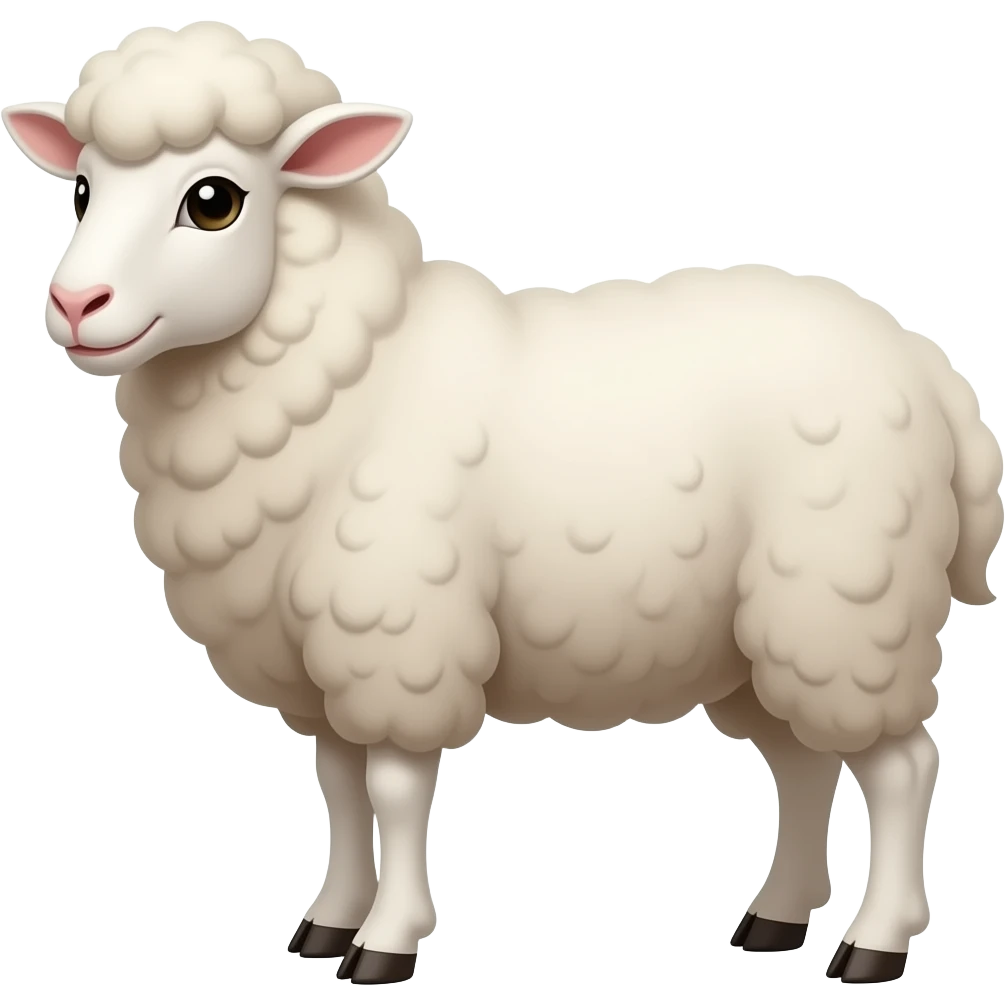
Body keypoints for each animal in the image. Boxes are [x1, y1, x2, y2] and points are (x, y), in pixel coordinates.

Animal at [3, 20, 1001, 987]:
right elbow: (339, 783)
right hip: (761, 638)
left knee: (902, 765)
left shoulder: (398, 633)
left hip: (847, 605)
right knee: (802, 762)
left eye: (213, 199)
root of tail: (929, 364)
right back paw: (775, 918)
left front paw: (386, 943)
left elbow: (394, 787)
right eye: (82, 188)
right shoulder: (322, 659)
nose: (74, 302)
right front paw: (327, 922)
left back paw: (874, 942)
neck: (355, 371)